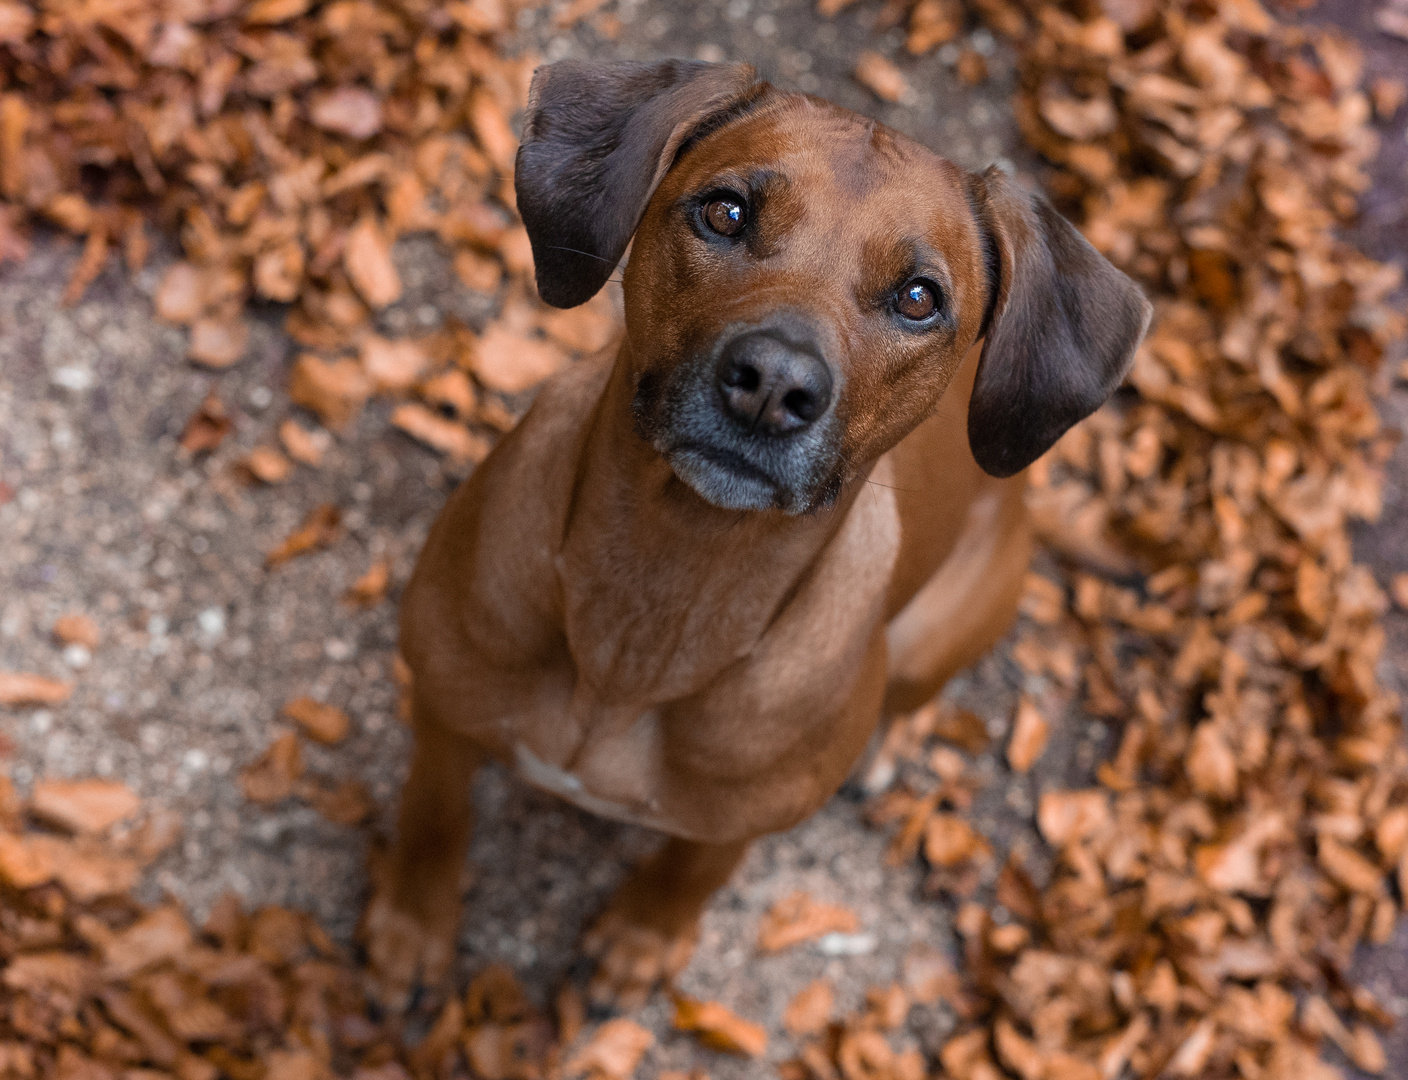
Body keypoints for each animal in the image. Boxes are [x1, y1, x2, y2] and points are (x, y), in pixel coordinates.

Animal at [360, 57, 1143, 1002]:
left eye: (918, 297)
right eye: (726, 212)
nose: (774, 382)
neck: (655, 597)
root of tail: (1025, 500)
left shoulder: (738, 822)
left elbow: (697, 867)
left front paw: (645, 936)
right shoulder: (443, 710)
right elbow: (435, 812)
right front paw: (412, 922)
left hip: (939, 630)